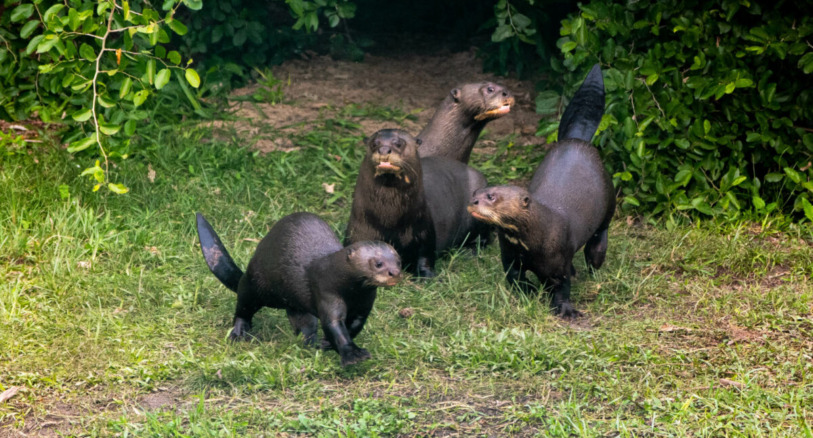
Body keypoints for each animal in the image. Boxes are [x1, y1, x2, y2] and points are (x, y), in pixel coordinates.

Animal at [196, 212, 402, 366]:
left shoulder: (364, 305)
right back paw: (240, 332)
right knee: (243, 305)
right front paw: (352, 354)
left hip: (294, 303)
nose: (394, 272)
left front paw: (327, 343)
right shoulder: (326, 292)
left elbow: (355, 326)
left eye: (399, 261)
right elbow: (334, 324)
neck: (351, 292)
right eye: (378, 263)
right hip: (256, 284)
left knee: (304, 323)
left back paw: (311, 342)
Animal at [345, 129, 490, 278]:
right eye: (374, 144)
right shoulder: (357, 234)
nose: (384, 149)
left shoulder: (423, 233)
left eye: (398, 143)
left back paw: (468, 251)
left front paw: (429, 276)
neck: (389, 221)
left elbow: (424, 257)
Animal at [467, 64, 613, 317]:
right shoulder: (510, 257)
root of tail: (578, 140)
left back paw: (595, 256)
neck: (536, 240)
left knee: (601, 233)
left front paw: (566, 310)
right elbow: (515, 278)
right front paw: (531, 291)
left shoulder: (558, 261)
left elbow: (562, 287)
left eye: (491, 196)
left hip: (609, 196)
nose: (473, 202)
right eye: (475, 193)